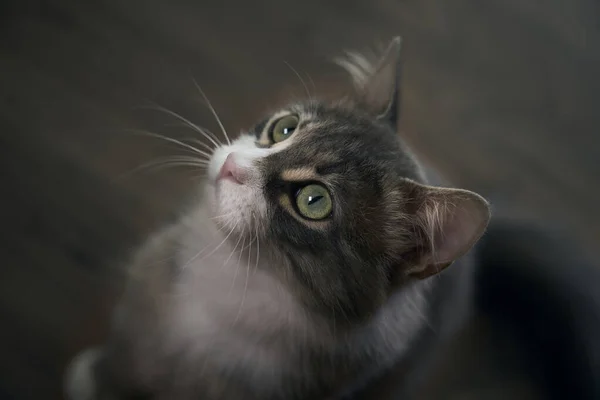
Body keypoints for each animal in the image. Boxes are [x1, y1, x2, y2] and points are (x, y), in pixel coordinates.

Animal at [63, 36, 596, 396]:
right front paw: (91, 380)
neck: (238, 276)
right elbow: (122, 360)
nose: (233, 166)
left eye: (313, 201)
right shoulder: (142, 312)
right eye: (283, 128)